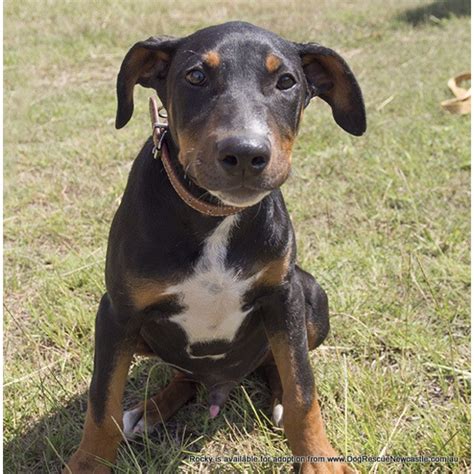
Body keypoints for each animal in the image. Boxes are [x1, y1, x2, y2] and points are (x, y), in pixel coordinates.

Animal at [65, 19, 364, 474]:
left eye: (286, 81)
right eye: (195, 77)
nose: (245, 154)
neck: (214, 216)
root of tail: (223, 384)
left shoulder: (284, 296)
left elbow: (302, 386)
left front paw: (319, 459)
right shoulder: (117, 312)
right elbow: (103, 402)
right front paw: (88, 463)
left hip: (309, 294)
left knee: (277, 364)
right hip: (142, 334)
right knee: (185, 377)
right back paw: (150, 411)